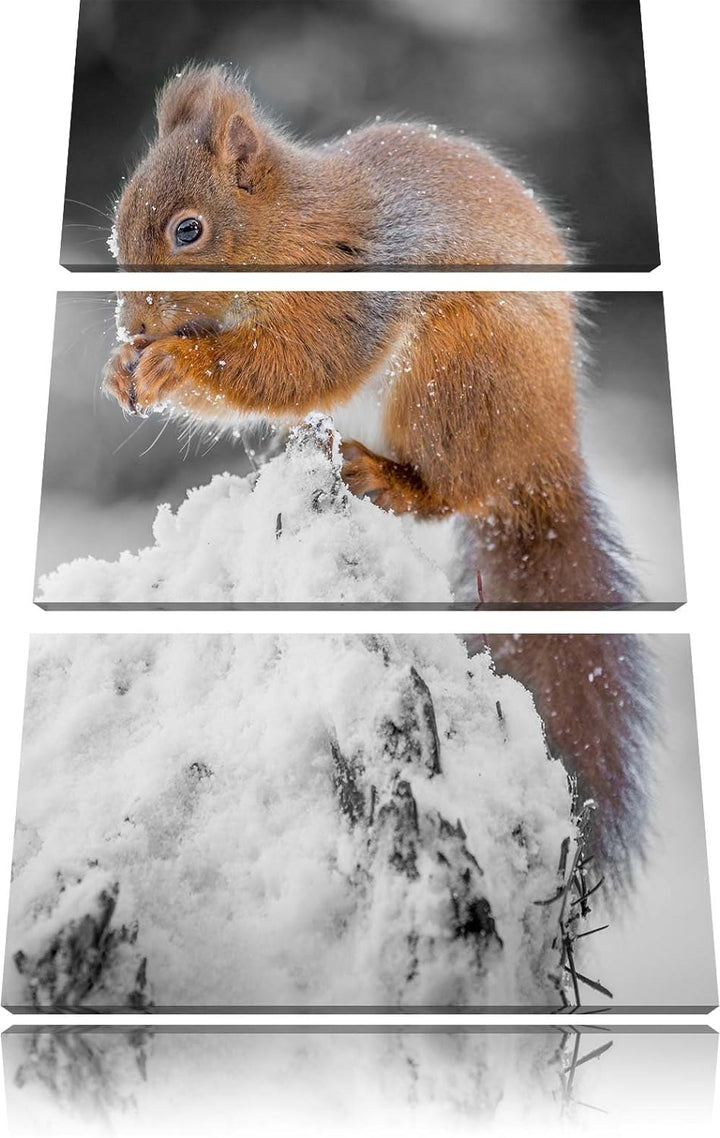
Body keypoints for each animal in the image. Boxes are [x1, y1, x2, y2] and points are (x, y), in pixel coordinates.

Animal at [102, 65, 654, 882]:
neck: (287, 228)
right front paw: (122, 368)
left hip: (453, 376)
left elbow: (295, 364)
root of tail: (544, 449)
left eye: (188, 230)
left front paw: (173, 362)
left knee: (450, 491)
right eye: (118, 221)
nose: (134, 325)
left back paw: (384, 479)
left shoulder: (348, 290)